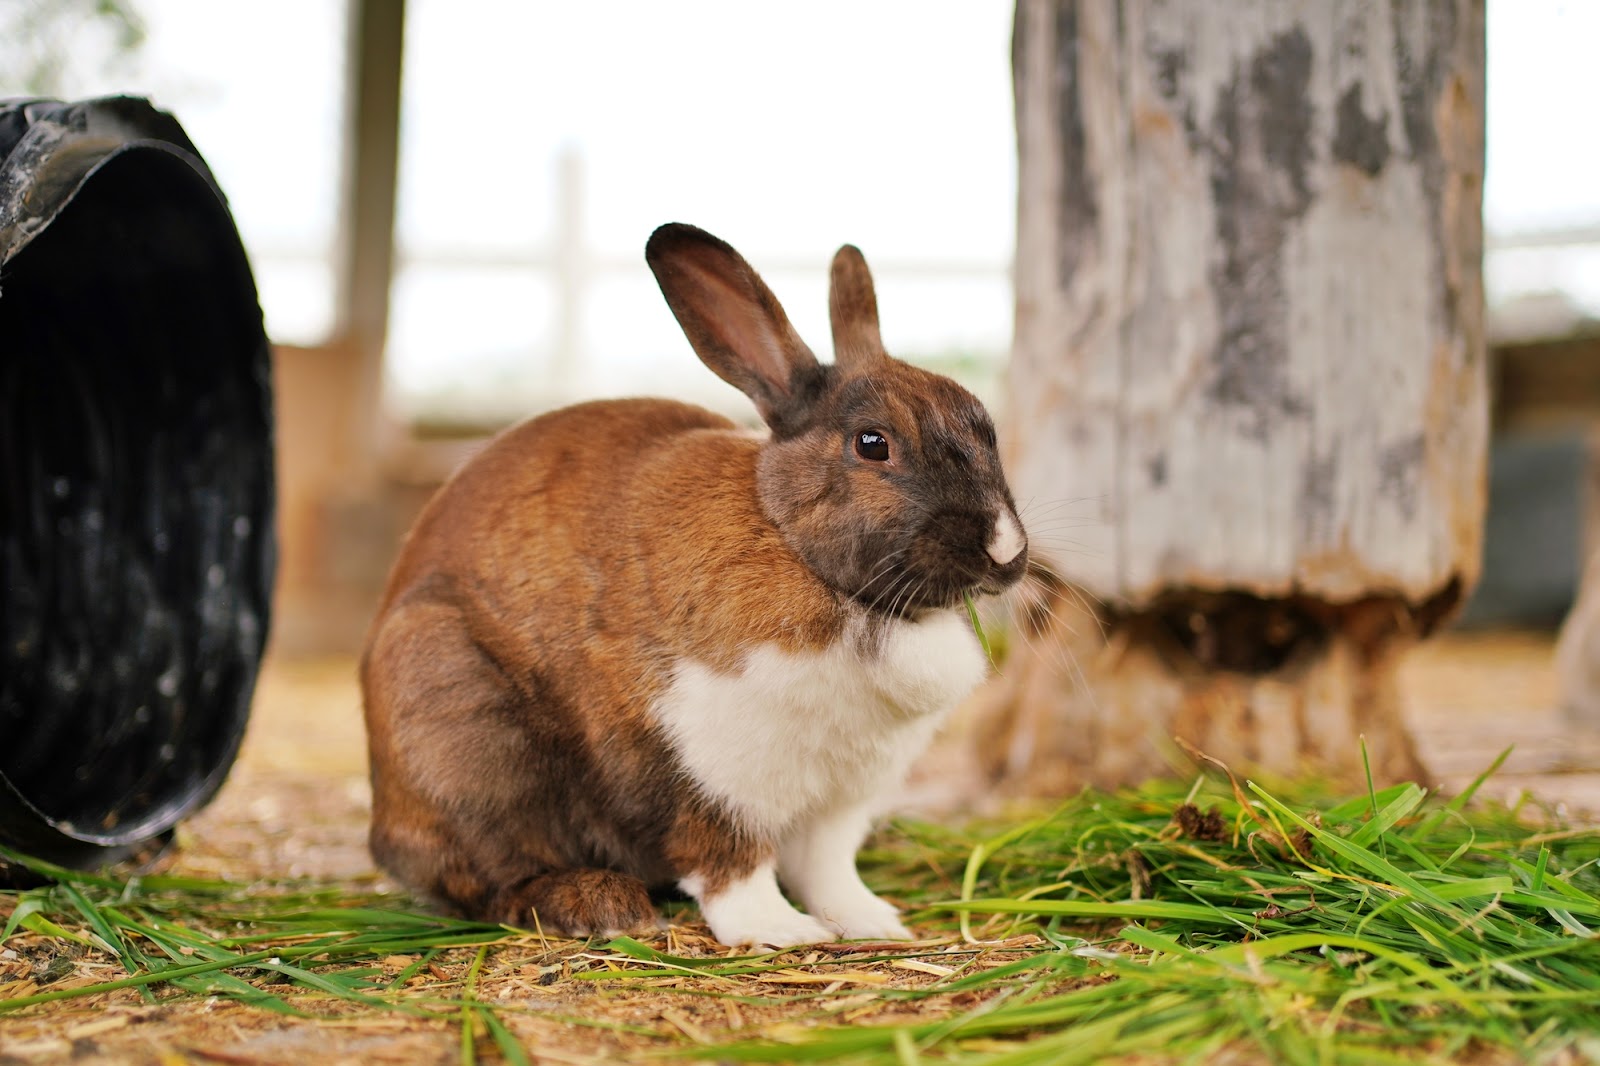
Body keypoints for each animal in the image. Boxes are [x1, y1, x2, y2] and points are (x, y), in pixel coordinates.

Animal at [361, 224, 1024, 947]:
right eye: (872, 443)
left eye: (985, 426)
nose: (1006, 550)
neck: (802, 556)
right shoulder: (713, 771)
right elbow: (734, 865)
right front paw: (783, 932)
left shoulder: (841, 801)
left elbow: (828, 869)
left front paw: (872, 921)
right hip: (463, 732)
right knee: (490, 880)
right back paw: (599, 904)